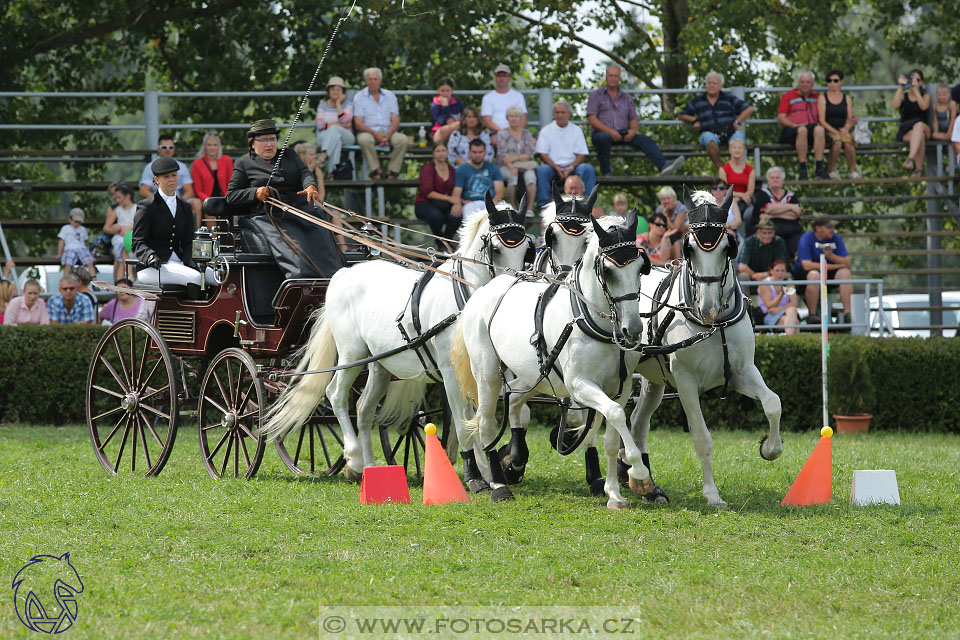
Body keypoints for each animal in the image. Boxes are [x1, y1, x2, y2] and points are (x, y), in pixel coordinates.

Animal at [262, 194, 528, 480]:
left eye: (527, 249)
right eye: (497, 249)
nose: (512, 294)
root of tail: (344, 274)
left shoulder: (480, 370)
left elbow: (486, 415)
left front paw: (494, 468)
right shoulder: (450, 371)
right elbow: (462, 420)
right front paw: (477, 474)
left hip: (378, 364)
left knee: (364, 409)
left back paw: (369, 469)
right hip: (351, 354)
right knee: (336, 394)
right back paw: (354, 458)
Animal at [452, 212, 660, 508]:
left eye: (642, 268)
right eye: (608, 271)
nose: (632, 330)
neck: (593, 321)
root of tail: (483, 291)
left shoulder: (619, 388)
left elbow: (610, 434)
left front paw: (614, 493)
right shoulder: (579, 384)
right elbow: (616, 414)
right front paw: (640, 474)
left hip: (534, 375)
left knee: (514, 402)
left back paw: (515, 461)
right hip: (488, 376)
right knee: (486, 423)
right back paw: (498, 485)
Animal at [624, 188, 788, 508]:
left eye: (727, 248)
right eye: (689, 248)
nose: (708, 308)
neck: (715, 325)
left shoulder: (741, 371)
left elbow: (773, 403)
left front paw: (770, 447)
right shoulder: (686, 382)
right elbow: (702, 438)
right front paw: (712, 494)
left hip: (653, 380)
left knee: (637, 423)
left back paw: (645, 485)